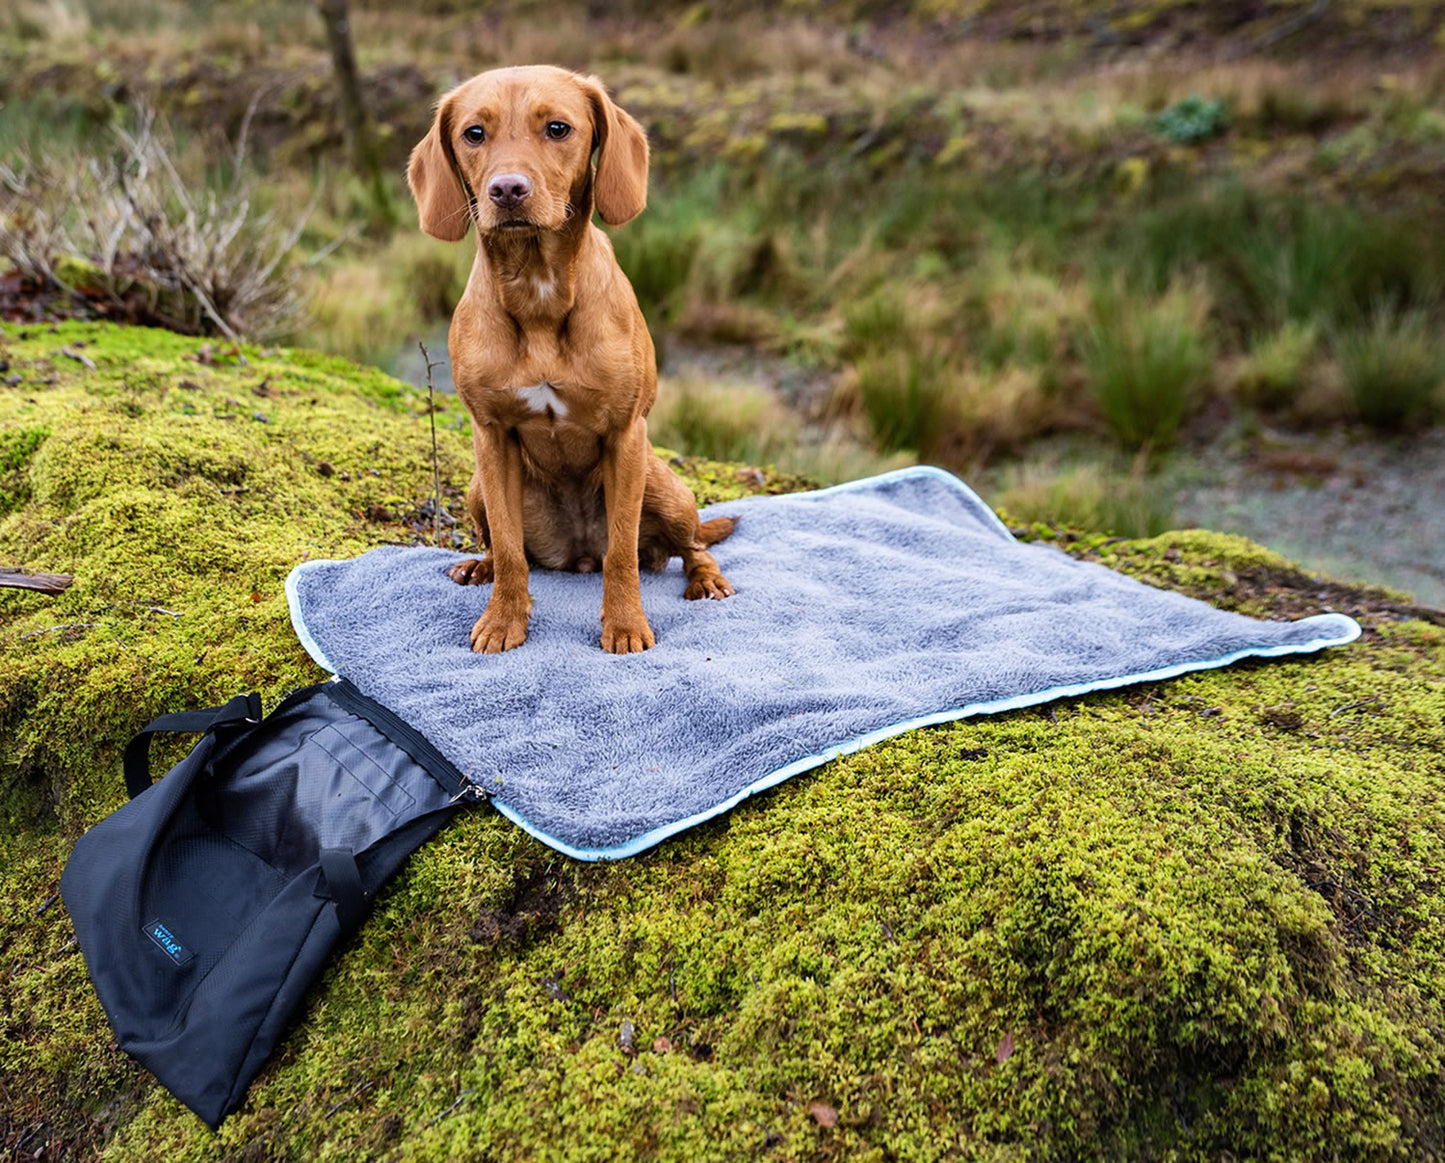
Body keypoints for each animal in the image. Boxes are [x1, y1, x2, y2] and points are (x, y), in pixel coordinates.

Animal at [407, 65, 734, 653]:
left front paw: (625, 625)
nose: (507, 189)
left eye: (558, 128)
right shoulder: (491, 438)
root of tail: (576, 554)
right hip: (476, 488)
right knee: (504, 547)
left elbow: (621, 553)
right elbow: (510, 549)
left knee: (691, 546)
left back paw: (706, 579)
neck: (538, 290)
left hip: (663, 485)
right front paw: (504, 620)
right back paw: (480, 568)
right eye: (474, 133)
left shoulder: (626, 436)